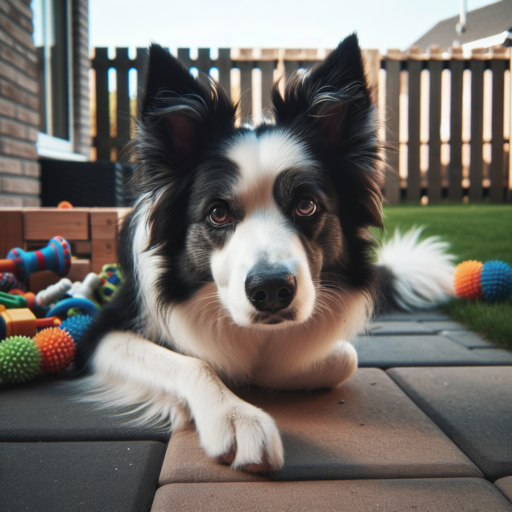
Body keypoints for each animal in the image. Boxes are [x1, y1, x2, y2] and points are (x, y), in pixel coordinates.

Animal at [75, 36, 452, 474]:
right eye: (217, 213)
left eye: (306, 205)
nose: (271, 290)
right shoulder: (100, 333)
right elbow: (195, 361)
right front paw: (235, 415)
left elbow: (342, 358)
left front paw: (262, 373)